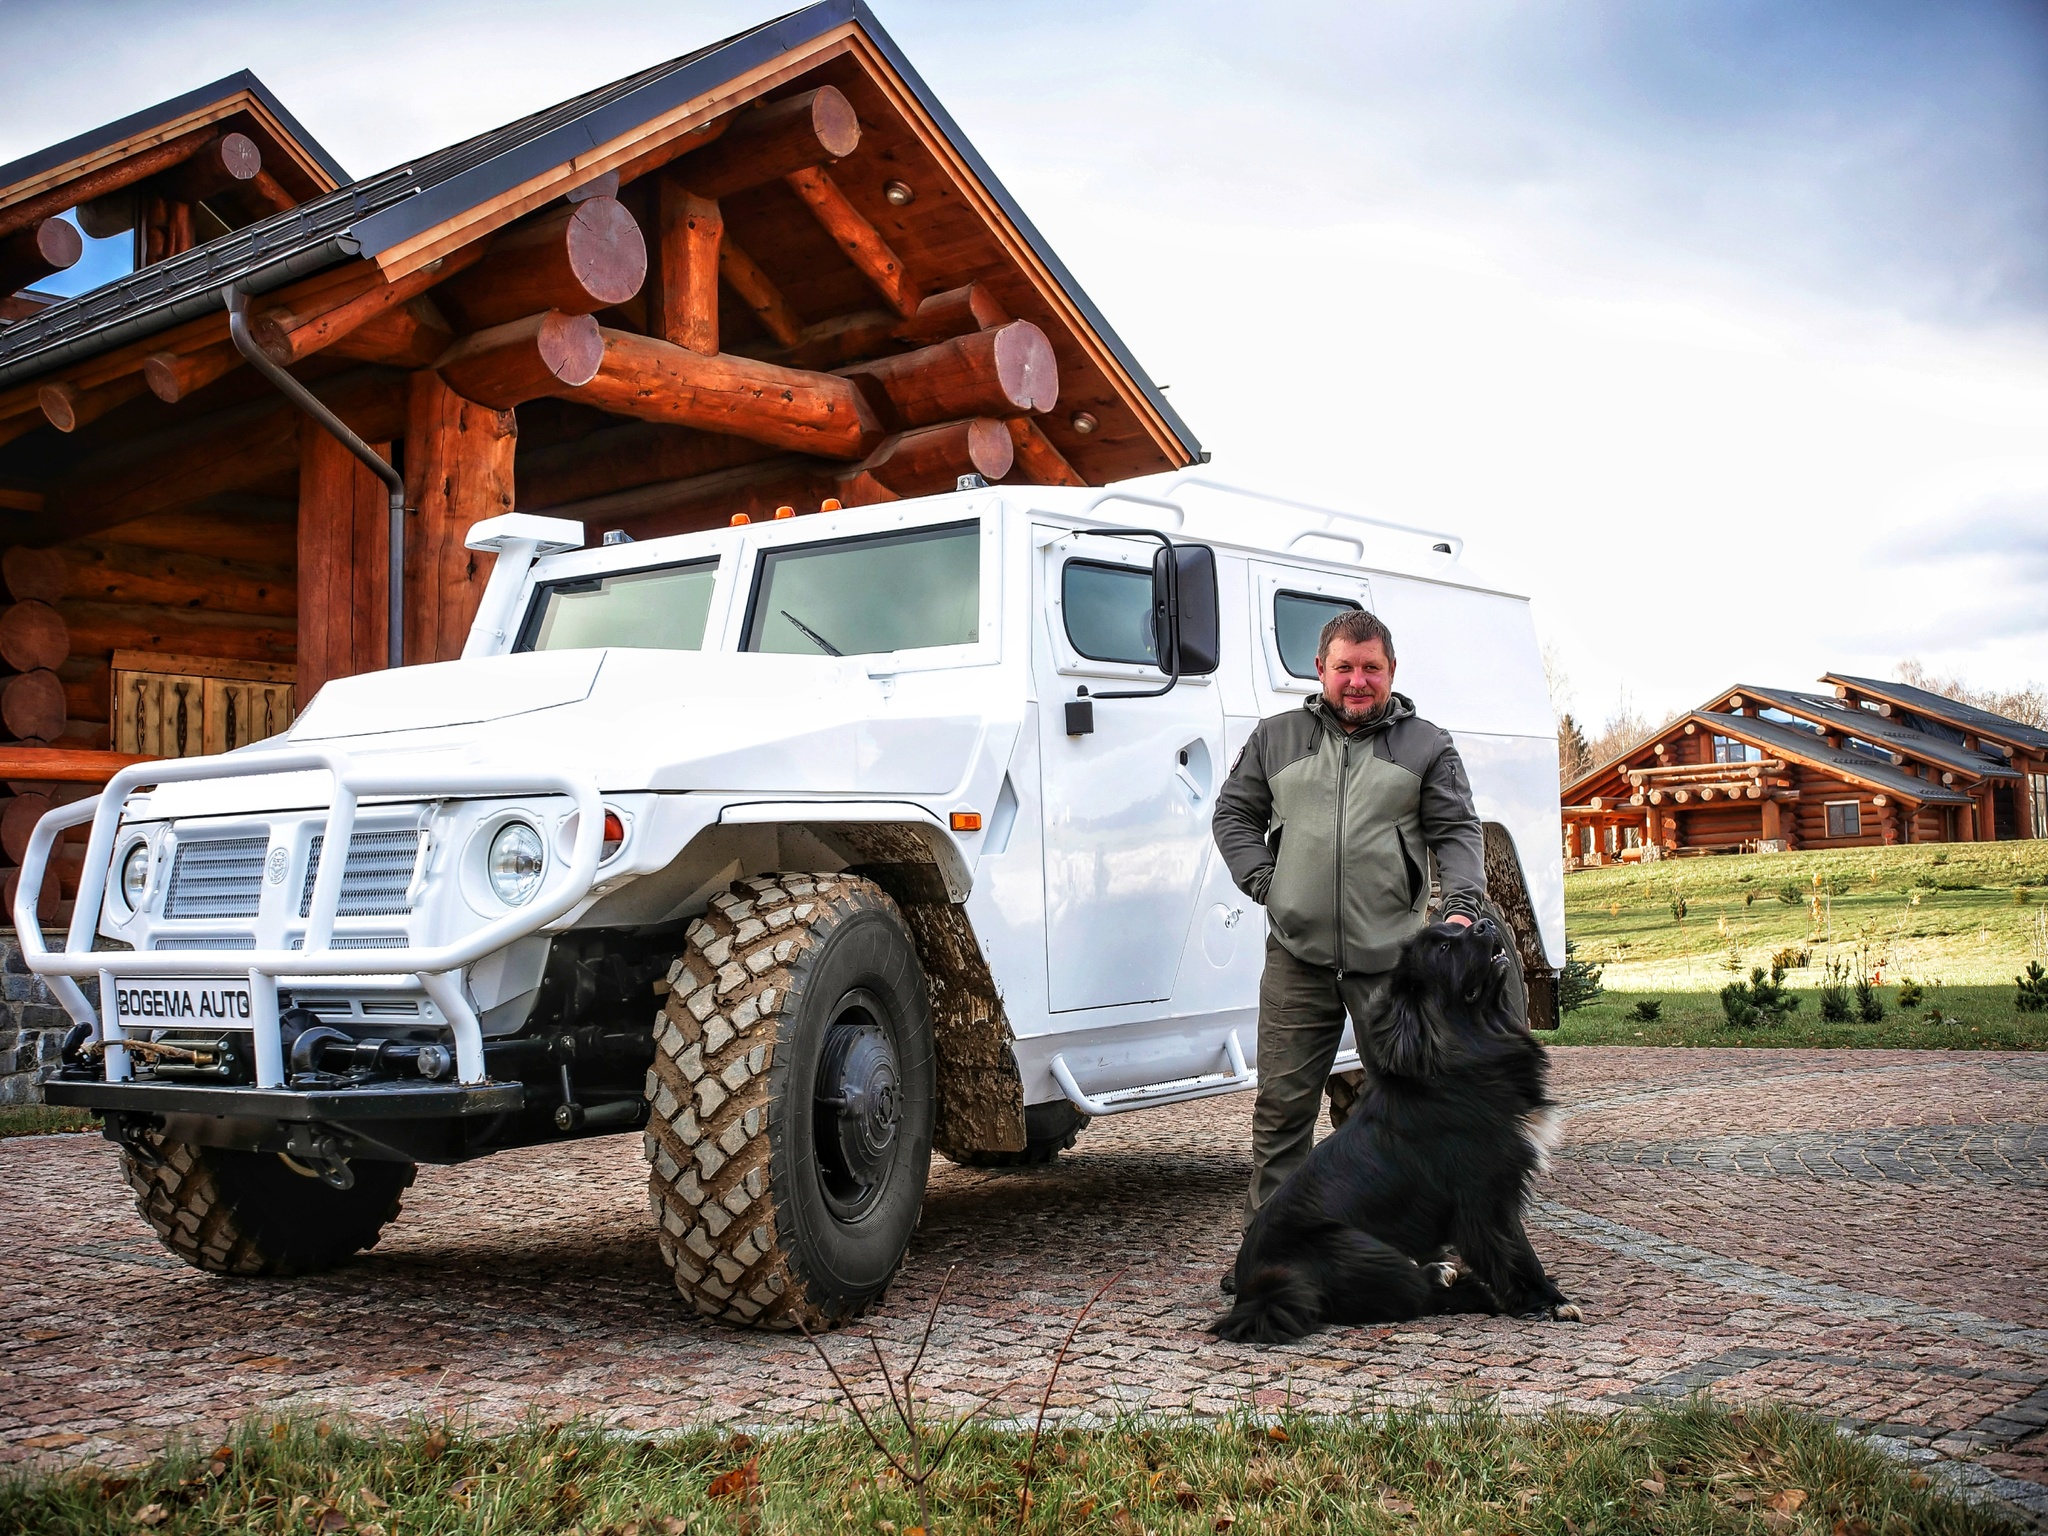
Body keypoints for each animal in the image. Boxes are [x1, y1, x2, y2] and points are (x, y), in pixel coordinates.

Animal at [1212, 921, 1581, 1343]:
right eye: (1443, 948)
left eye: (1456, 929)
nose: (1485, 923)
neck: (1468, 1045)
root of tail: (1253, 1294)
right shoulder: (1484, 1197)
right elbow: (1516, 1253)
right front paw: (1549, 1301)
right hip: (1349, 1245)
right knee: (1417, 1296)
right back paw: (1462, 1286)